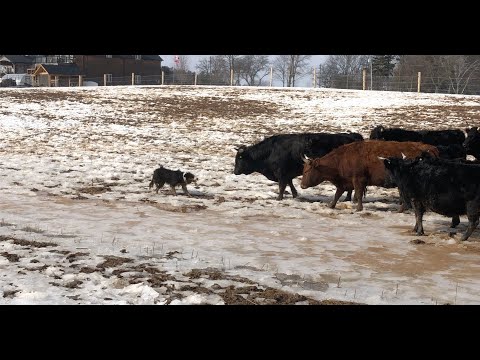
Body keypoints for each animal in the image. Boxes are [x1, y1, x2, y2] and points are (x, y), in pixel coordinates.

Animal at [233, 132, 364, 200]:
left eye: (240, 158)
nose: (235, 172)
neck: (270, 151)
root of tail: (353, 135)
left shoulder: (281, 173)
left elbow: (282, 186)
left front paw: (279, 198)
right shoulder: (287, 173)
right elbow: (289, 183)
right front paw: (295, 194)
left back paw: (348, 198)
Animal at [302, 140, 440, 211]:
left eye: (306, 171)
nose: (302, 185)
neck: (342, 158)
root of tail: (428, 147)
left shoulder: (358, 179)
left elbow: (358, 194)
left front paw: (358, 208)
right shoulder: (344, 182)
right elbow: (337, 194)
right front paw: (331, 205)